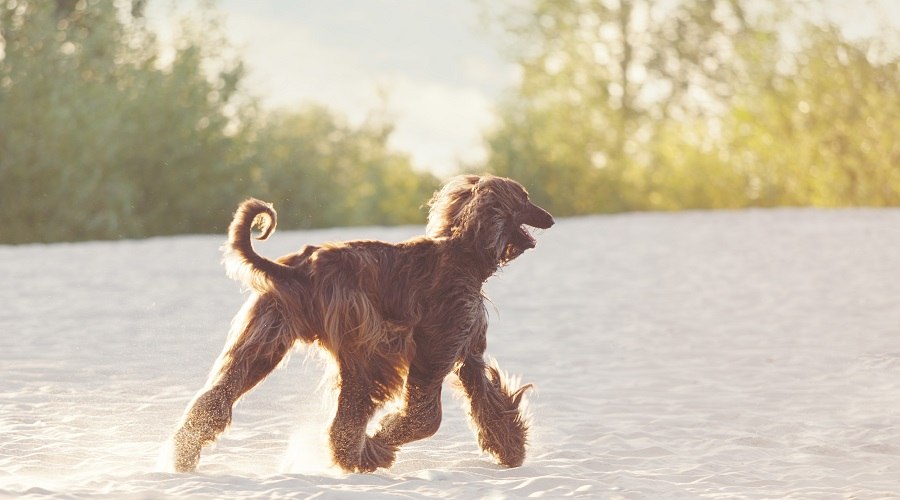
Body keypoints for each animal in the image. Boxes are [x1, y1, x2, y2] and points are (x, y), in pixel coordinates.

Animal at [167, 175, 548, 472]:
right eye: (525, 198)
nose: (550, 218)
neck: (463, 254)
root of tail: (298, 269)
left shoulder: (468, 352)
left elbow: (488, 400)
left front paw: (510, 447)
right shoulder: (435, 348)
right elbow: (425, 416)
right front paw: (383, 439)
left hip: (268, 334)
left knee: (218, 394)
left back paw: (183, 455)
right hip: (365, 343)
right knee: (348, 415)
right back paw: (361, 456)